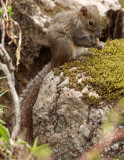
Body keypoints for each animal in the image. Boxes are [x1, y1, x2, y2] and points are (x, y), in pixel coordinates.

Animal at [19, 5, 104, 143]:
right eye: (90, 22)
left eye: (101, 20)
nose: (99, 35)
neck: (80, 21)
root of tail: (55, 58)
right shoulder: (76, 31)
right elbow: (80, 40)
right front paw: (95, 44)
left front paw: (99, 43)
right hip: (65, 45)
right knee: (68, 60)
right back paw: (80, 58)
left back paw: (86, 53)